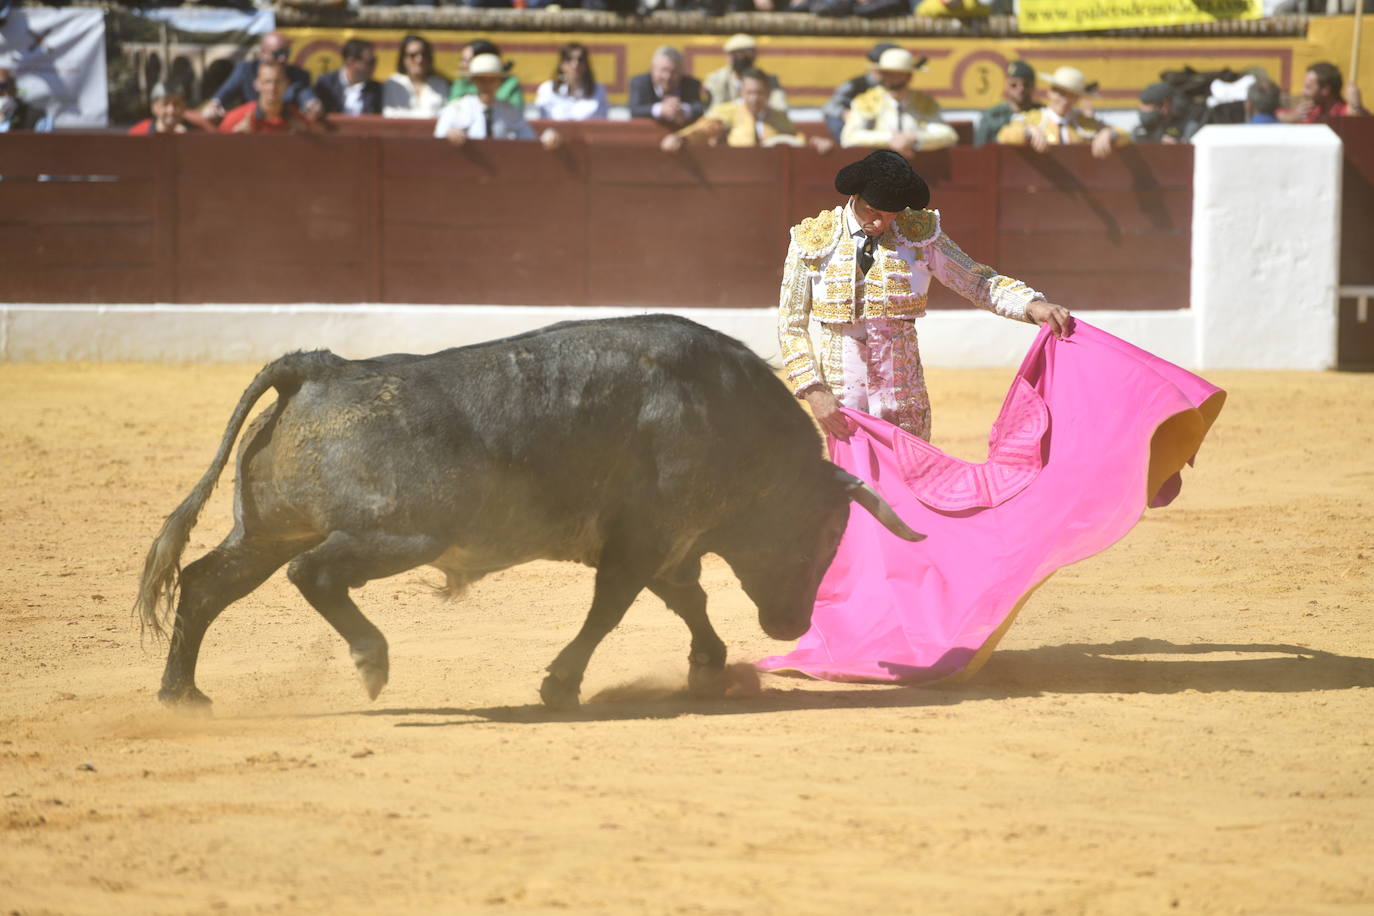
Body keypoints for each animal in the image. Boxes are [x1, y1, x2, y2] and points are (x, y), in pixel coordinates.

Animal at [136, 315, 923, 708]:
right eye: (822, 534)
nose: (791, 625)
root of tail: (323, 368)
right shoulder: (645, 539)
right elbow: (613, 608)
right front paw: (560, 685)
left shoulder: (666, 543)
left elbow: (687, 601)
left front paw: (709, 669)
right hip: (405, 533)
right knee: (313, 574)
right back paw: (371, 661)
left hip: (267, 532)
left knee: (206, 584)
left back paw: (183, 695)